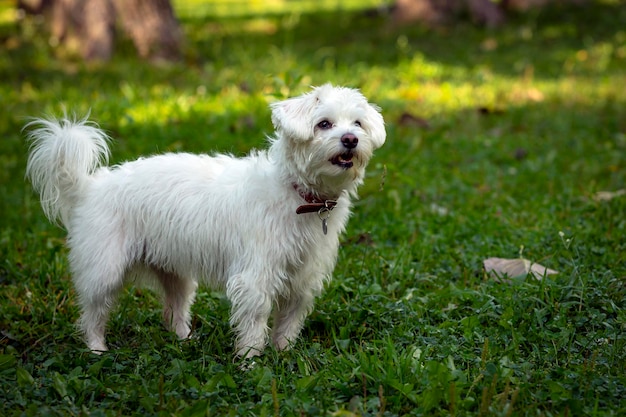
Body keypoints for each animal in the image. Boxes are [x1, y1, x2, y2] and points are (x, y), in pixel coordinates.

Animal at [25, 83, 386, 358]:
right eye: (324, 124)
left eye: (357, 124)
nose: (350, 140)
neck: (301, 196)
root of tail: (90, 186)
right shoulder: (255, 277)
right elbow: (255, 322)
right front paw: (251, 362)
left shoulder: (302, 280)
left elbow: (288, 322)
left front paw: (283, 355)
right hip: (105, 271)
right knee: (92, 314)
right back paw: (97, 349)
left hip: (175, 274)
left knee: (173, 312)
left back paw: (185, 341)